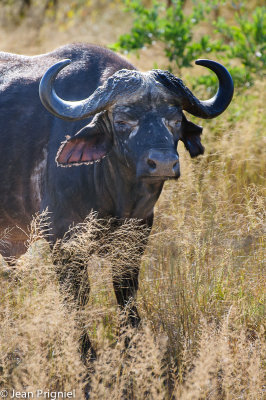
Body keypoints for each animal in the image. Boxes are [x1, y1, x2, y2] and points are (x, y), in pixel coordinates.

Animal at [0, 43, 233, 360]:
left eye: (174, 121)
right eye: (123, 121)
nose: (162, 163)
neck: (117, 194)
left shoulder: (136, 238)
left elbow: (126, 293)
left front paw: (132, 348)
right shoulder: (64, 241)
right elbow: (77, 298)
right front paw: (87, 355)